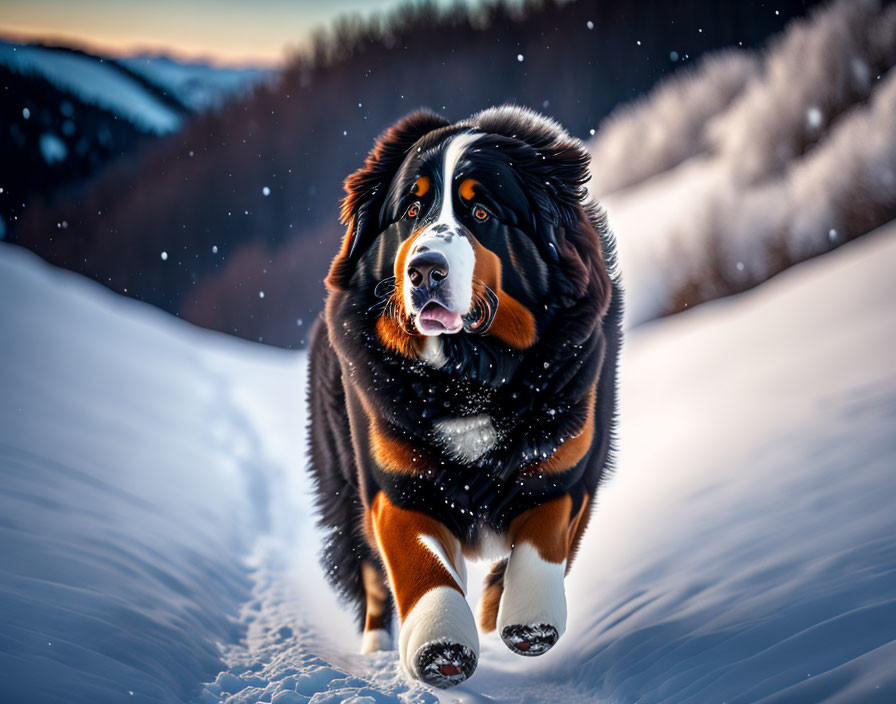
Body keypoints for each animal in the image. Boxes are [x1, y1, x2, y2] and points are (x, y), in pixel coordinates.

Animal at [312, 106, 620, 688]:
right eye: (411, 210)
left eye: (480, 212)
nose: (424, 269)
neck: (467, 376)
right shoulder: (395, 486)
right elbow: (420, 566)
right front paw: (441, 643)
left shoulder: (569, 464)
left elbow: (543, 541)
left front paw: (525, 617)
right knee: (371, 575)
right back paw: (377, 648)